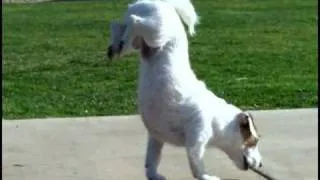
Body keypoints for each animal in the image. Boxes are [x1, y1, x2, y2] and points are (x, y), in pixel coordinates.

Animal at [107, 0, 262, 180]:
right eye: (253, 142)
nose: (261, 164)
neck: (217, 119)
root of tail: (163, 3)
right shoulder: (196, 141)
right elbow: (197, 166)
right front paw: (206, 177)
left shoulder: (156, 138)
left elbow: (151, 160)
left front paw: (153, 175)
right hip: (156, 33)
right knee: (134, 21)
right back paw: (121, 40)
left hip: (140, 41)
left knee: (117, 25)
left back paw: (115, 46)